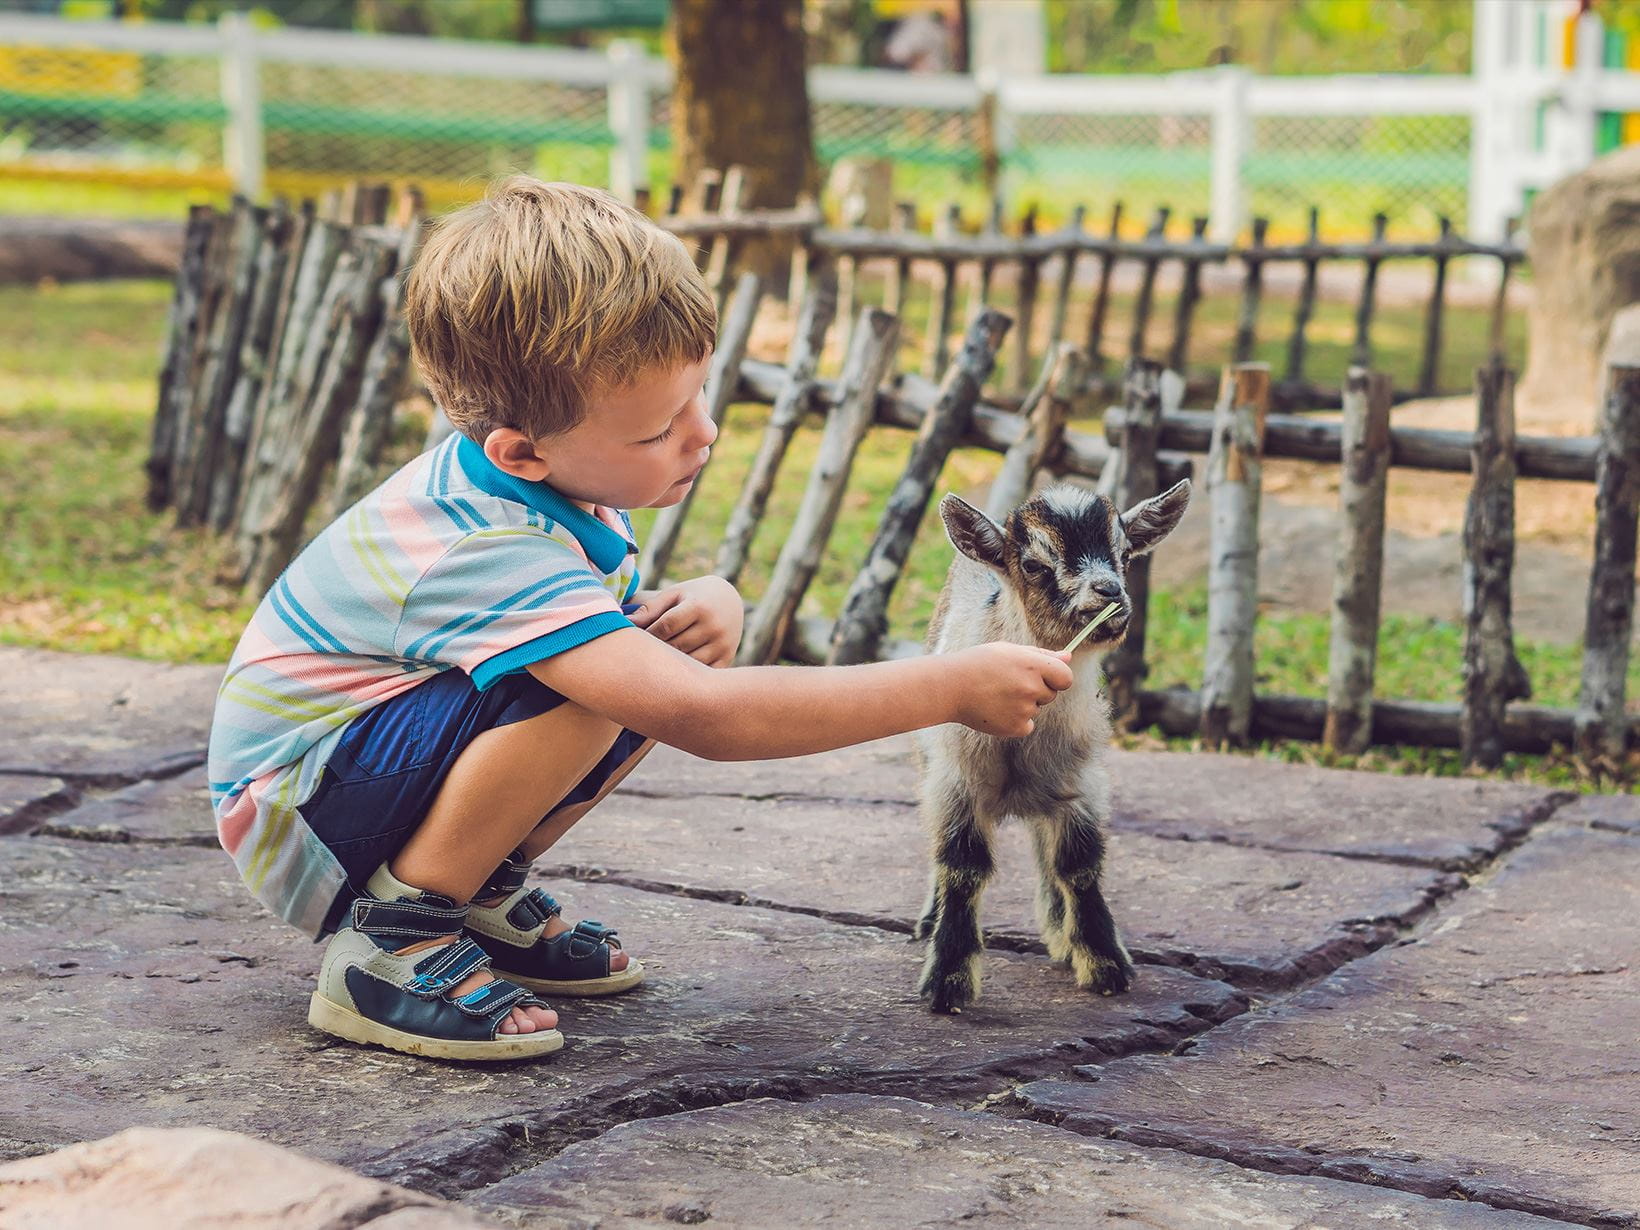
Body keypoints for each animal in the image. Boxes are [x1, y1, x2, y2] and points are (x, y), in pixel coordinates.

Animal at [911, 475, 1193, 1016]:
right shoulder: (956, 783)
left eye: (1125, 554)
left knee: (1046, 850)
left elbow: (1078, 865)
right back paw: (928, 921)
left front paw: (1105, 964)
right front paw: (948, 982)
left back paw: (1062, 933)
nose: (1109, 592)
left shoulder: (1081, 786)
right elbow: (961, 867)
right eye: (1034, 564)